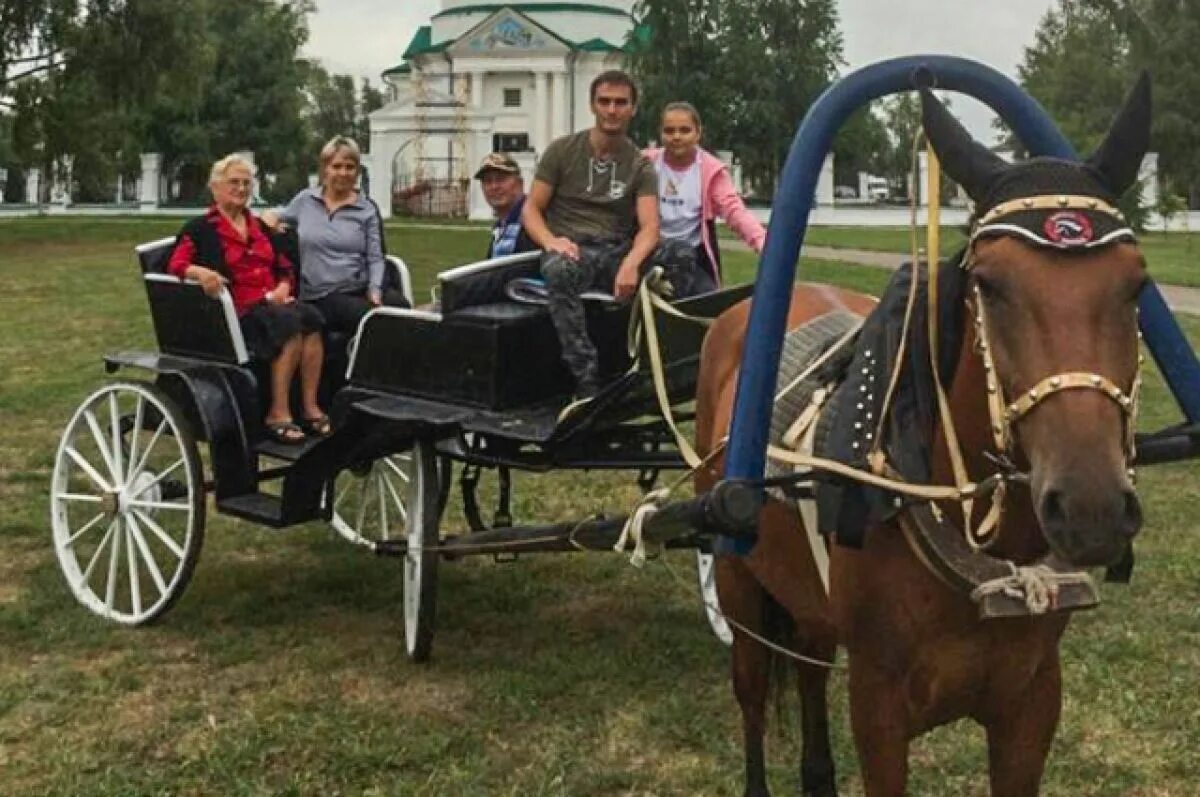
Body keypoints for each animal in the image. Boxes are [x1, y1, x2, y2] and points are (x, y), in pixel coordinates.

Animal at [696, 76, 1152, 797]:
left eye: (1137, 284)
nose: (1091, 507)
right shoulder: (879, 708)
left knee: (810, 667)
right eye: (989, 283)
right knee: (752, 690)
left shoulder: (1031, 703)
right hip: (738, 574)